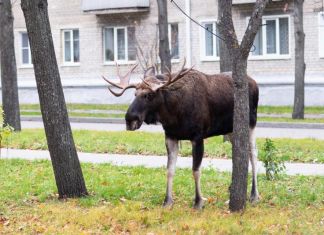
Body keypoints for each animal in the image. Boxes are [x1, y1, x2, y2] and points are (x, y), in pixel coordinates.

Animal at [102, 60, 260, 209]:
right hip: (231, 130)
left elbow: (196, 170)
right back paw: (232, 187)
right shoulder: (170, 136)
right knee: (239, 152)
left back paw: (254, 195)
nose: (130, 119)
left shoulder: (197, 137)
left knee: (253, 154)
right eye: (135, 94)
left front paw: (198, 202)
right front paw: (167, 201)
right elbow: (170, 170)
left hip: (251, 123)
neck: (173, 114)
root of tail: (254, 82)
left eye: (149, 95)